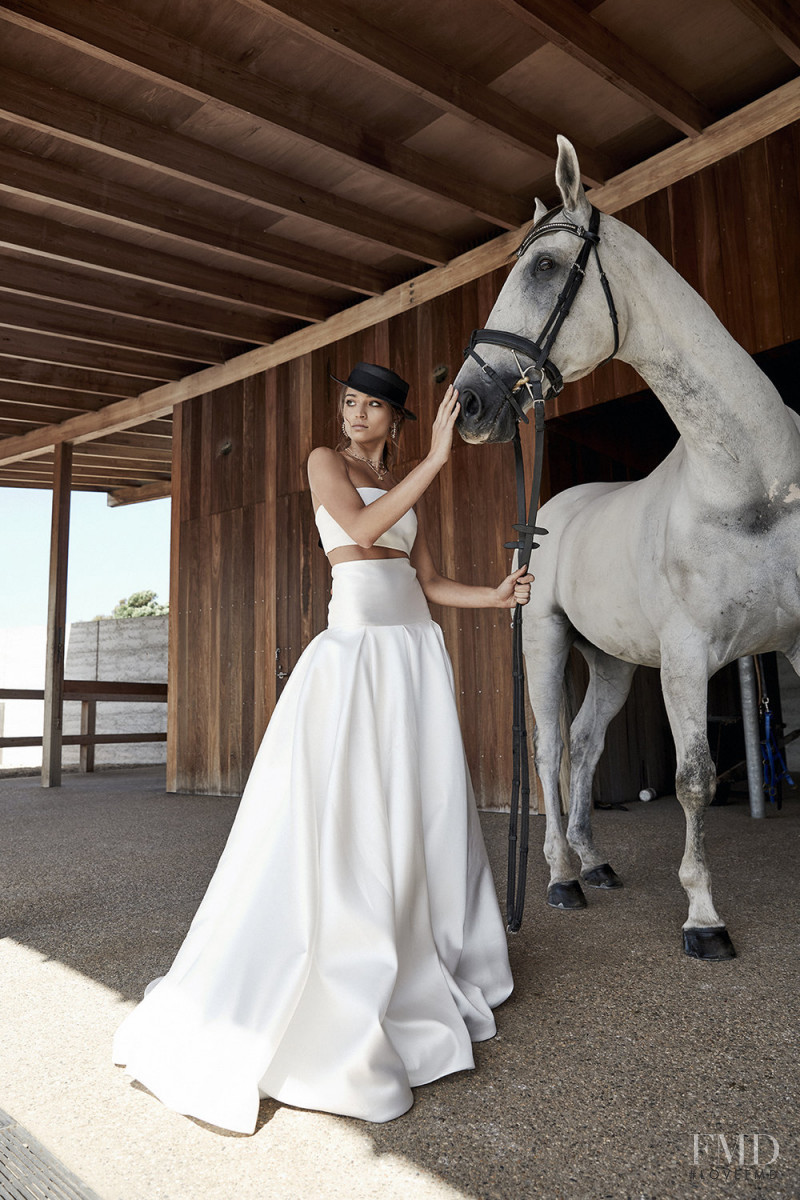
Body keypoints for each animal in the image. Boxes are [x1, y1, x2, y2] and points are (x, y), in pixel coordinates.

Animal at [450, 133, 800, 955]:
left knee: (584, 743)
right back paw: (560, 877)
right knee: (550, 749)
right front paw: (703, 918)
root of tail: (545, 516)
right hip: (545, 642)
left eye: (545, 267)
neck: (751, 486)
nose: (469, 403)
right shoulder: (687, 654)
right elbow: (694, 778)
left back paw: (596, 860)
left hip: (611, 663)